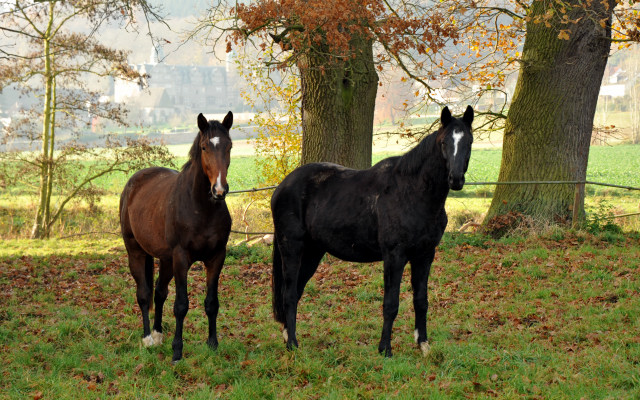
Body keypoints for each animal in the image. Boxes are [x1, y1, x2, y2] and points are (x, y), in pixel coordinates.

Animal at [119, 111, 232, 362]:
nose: (219, 190)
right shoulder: (181, 258)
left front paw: (213, 345)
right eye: (204, 147)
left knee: (159, 293)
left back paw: (158, 333)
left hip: (165, 260)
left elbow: (212, 303)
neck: (201, 208)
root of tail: (134, 181)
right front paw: (177, 351)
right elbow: (181, 305)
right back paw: (147, 338)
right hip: (136, 251)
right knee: (144, 294)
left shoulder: (216, 258)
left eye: (229, 145)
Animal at [272, 105, 476, 356]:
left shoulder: (425, 255)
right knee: (290, 294)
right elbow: (391, 304)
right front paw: (385, 349)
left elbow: (421, 300)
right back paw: (292, 344)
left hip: (312, 252)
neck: (412, 192)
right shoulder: (394, 256)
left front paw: (423, 344)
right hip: (292, 247)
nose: (456, 179)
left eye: (469, 141)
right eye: (444, 142)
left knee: (296, 291)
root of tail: (283, 186)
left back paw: (288, 336)